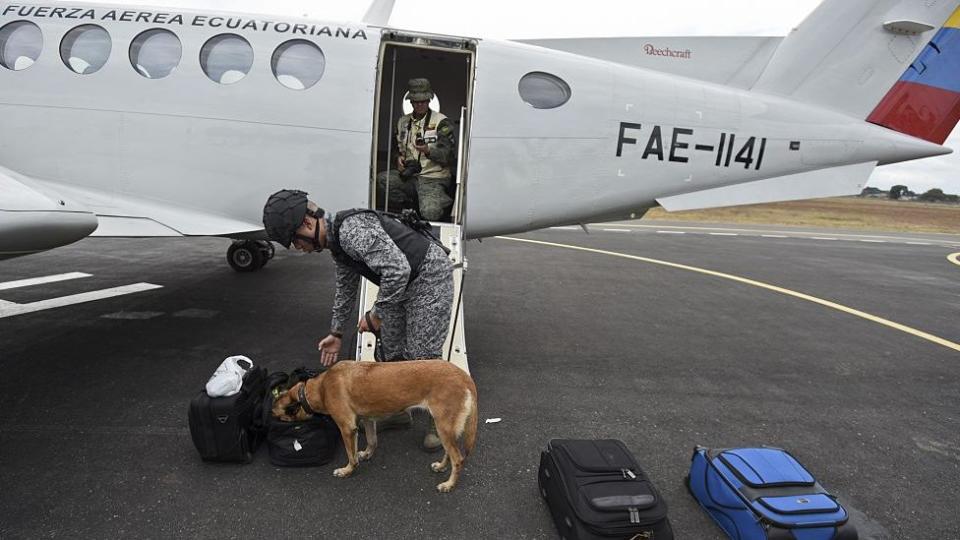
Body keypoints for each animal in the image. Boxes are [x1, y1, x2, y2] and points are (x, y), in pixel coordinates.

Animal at [272, 360, 478, 492]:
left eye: (280, 416)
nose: (271, 414)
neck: (320, 388)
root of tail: (464, 376)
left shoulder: (347, 428)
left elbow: (351, 455)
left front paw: (347, 470)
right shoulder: (368, 419)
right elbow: (372, 441)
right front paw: (366, 454)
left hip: (443, 426)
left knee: (458, 458)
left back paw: (449, 485)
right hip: (445, 426)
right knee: (450, 453)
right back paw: (441, 467)